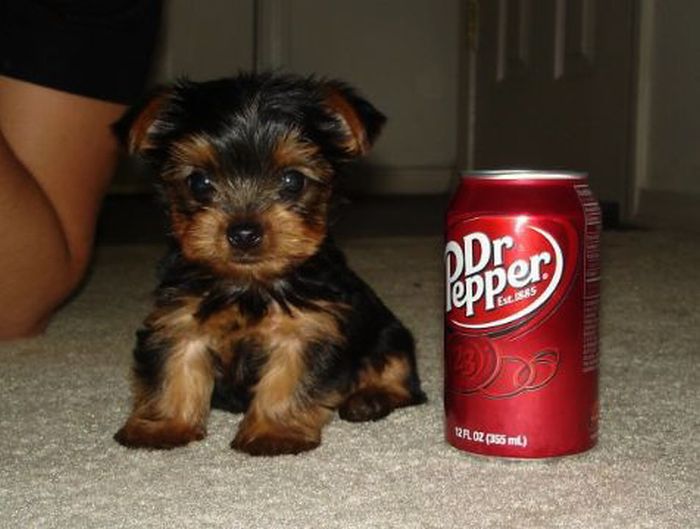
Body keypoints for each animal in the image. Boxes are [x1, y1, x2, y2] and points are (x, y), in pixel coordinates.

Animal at [113, 72, 426, 456]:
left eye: (293, 180)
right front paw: (163, 427)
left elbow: (288, 381)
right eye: (199, 182)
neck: (248, 283)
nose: (244, 232)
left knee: (401, 379)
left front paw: (273, 433)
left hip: (388, 336)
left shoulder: (308, 329)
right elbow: (173, 368)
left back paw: (369, 399)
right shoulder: (179, 320)